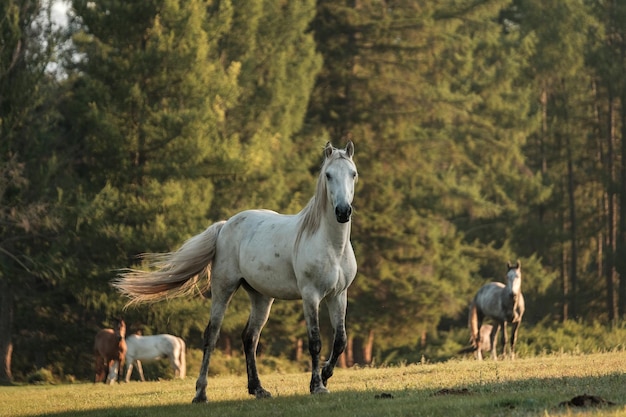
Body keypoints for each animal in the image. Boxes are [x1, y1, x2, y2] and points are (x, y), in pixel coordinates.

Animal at [112, 141, 356, 404]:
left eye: (353, 174)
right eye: (328, 175)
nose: (343, 211)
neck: (330, 244)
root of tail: (225, 225)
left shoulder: (338, 295)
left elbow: (340, 341)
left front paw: (325, 375)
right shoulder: (311, 295)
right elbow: (315, 341)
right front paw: (317, 385)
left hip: (261, 298)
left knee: (250, 338)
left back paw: (257, 389)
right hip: (223, 289)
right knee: (212, 335)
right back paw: (201, 393)